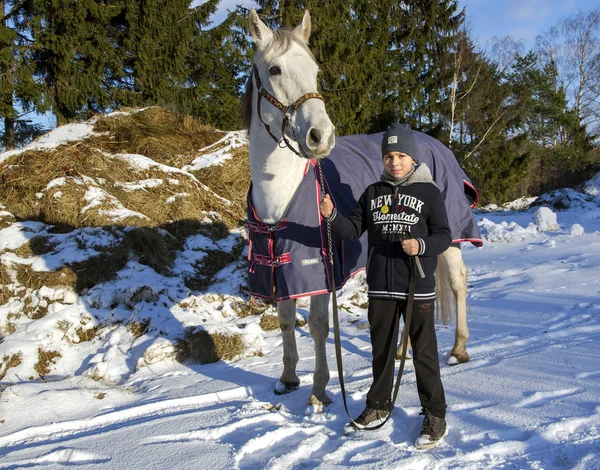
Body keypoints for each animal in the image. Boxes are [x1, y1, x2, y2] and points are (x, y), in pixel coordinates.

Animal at [243, 8, 468, 412]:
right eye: (275, 69)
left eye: (315, 69)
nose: (321, 136)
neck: (280, 195)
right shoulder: (281, 272)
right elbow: (285, 319)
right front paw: (287, 378)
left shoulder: (319, 272)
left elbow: (319, 326)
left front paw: (318, 391)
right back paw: (400, 353)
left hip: (451, 237)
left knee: (458, 282)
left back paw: (459, 349)